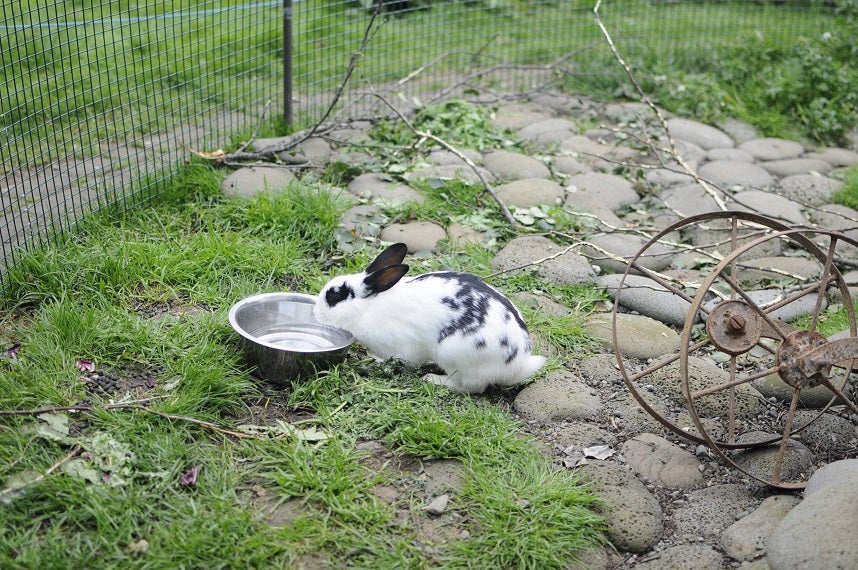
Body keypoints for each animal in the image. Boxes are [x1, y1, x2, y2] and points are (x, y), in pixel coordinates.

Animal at [312, 242, 540, 392]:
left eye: (334, 296)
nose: (315, 313)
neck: (368, 306)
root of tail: (516, 364)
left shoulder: (403, 348)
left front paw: (379, 362)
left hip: (454, 355)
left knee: (470, 387)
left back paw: (433, 379)